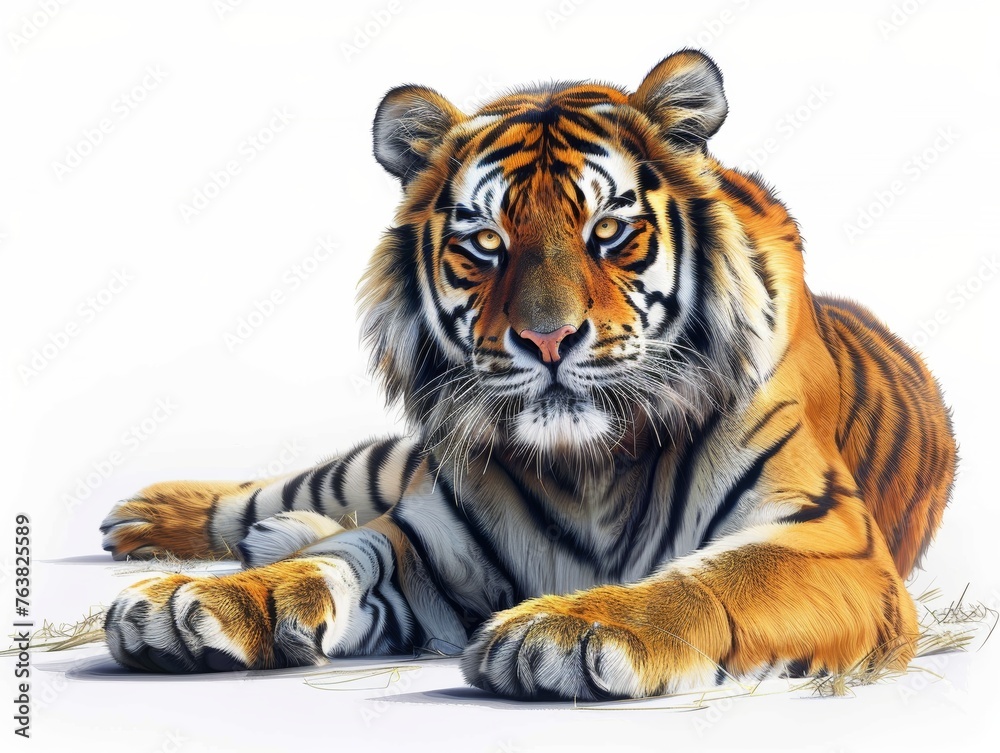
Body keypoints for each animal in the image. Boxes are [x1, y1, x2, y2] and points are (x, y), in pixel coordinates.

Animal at [99, 50, 956, 700]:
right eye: (485, 242)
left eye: (608, 230)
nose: (548, 338)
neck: (593, 469)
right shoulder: (429, 538)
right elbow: (342, 557)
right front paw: (201, 599)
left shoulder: (830, 540)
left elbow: (709, 580)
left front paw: (570, 626)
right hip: (384, 466)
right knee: (296, 491)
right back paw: (151, 516)